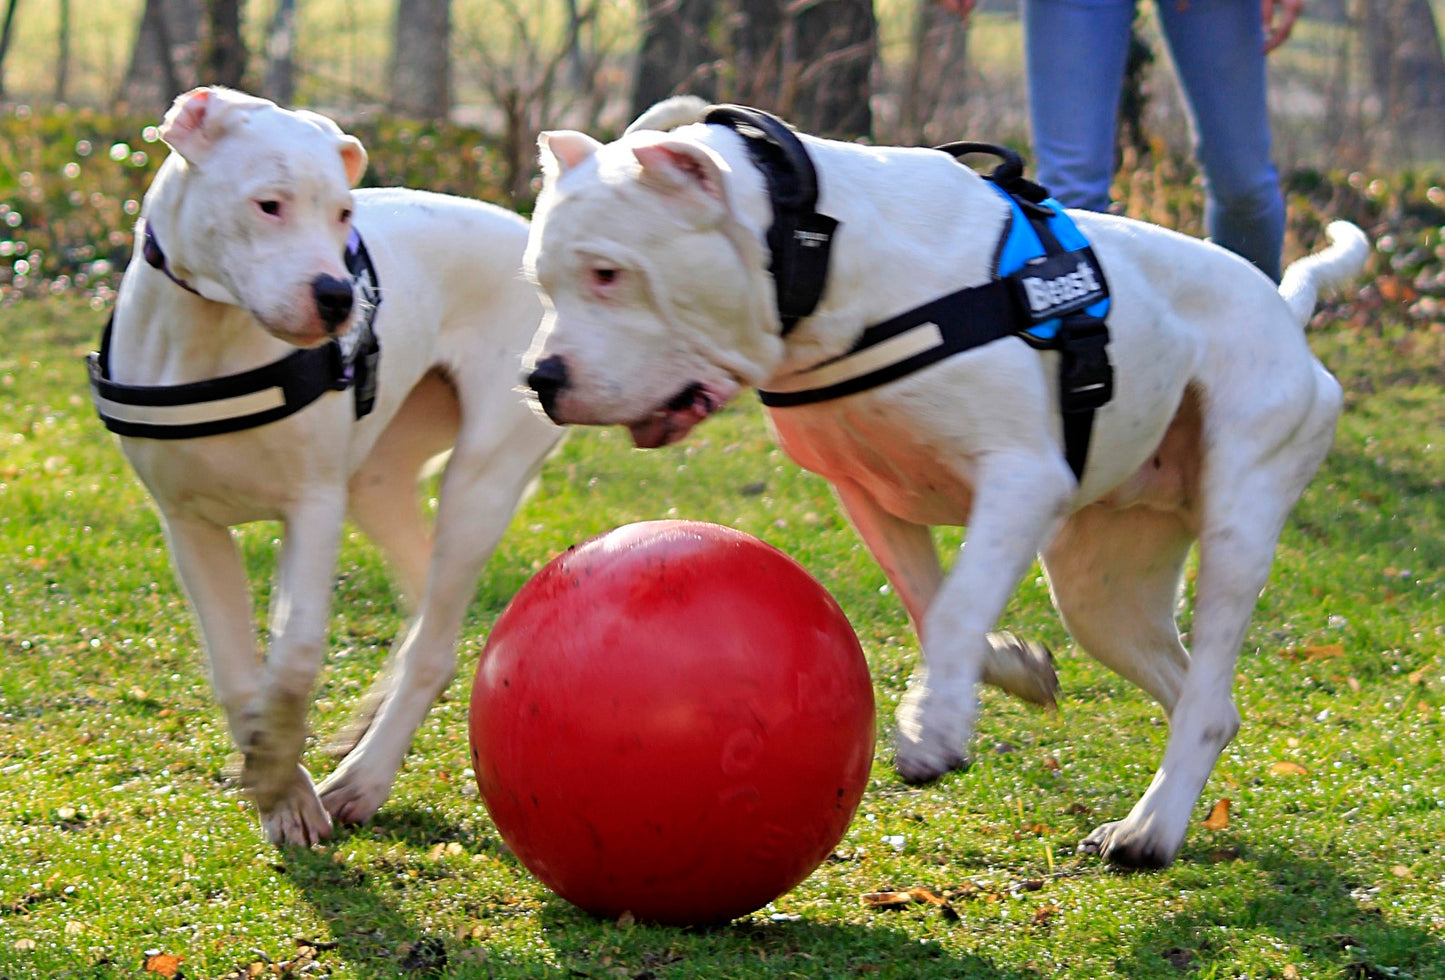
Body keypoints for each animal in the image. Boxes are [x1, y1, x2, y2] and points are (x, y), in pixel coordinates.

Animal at [90, 88, 560, 849]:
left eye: (343, 213)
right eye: (269, 205)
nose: (340, 297)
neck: (211, 334)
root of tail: (526, 236)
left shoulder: (311, 506)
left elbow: (297, 653)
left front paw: (281, 767)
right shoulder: (190, 527)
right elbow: (237, 670)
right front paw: (277, 784)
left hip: (479, 483)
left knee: (433, 641)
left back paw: (365, 777)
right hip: (378, 483)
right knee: (425, 604)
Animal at [520, 97, 1364, 867]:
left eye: (608, 273)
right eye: (541, 281)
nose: (539, 379)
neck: (818, 255)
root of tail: (1283, 310)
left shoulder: (1020, 479)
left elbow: (957, 604)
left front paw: (931, 729)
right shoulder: (863, 492)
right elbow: (932, 604)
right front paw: (1005, 669)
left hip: (1235, 528)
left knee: (1207, 685)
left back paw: (1149, 831)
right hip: (1100, 592)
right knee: (1202, 696)